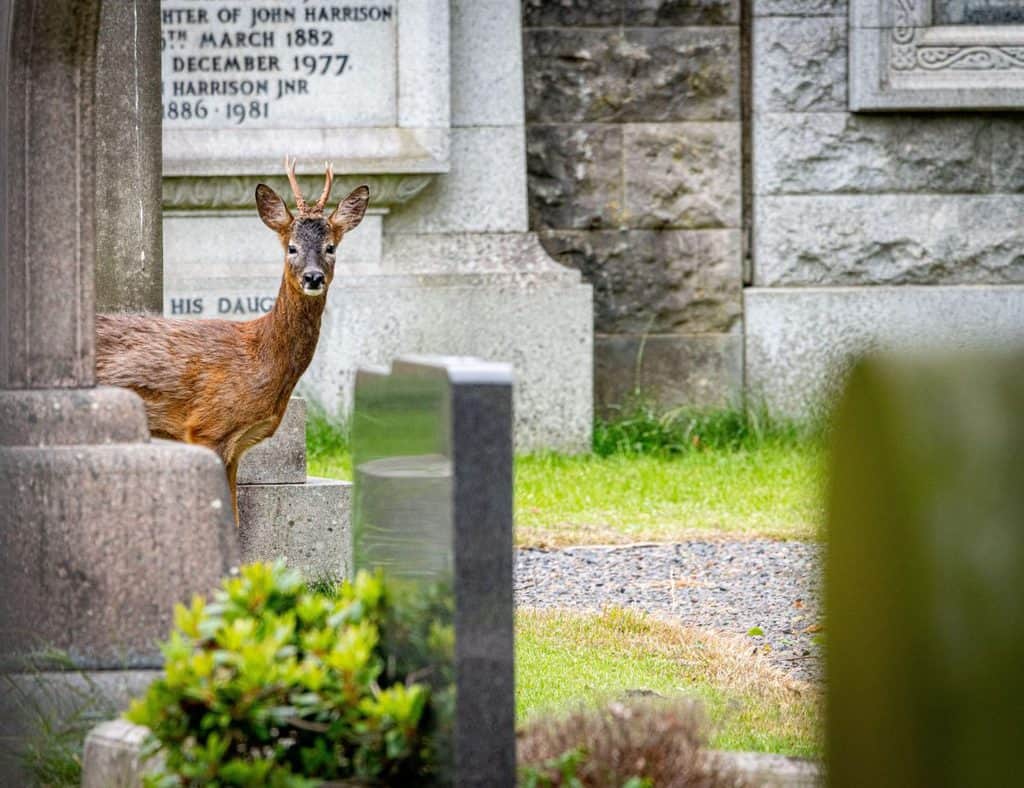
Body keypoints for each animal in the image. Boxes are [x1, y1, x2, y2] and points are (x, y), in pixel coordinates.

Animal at [97, 156, 370, 519]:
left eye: (331, 247)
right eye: (292, 247)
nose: (313, 277)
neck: (260, 355)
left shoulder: (236, 446)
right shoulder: (207, 427)